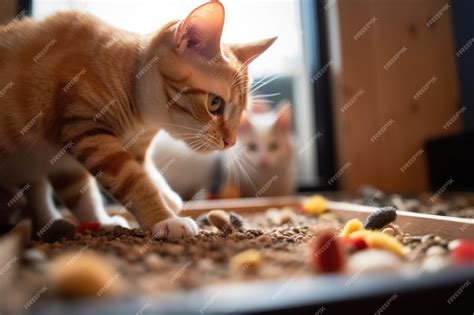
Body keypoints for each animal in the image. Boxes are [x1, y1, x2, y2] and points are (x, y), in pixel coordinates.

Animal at [0, 1, 274, 241]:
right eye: (214, 103)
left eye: (241, 112)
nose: (231, 142)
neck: (141, 119)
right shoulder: (87, 131)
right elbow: (134, 181)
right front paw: (165, 218)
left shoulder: (84, 157)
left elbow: (87, 191)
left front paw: (105, 219)